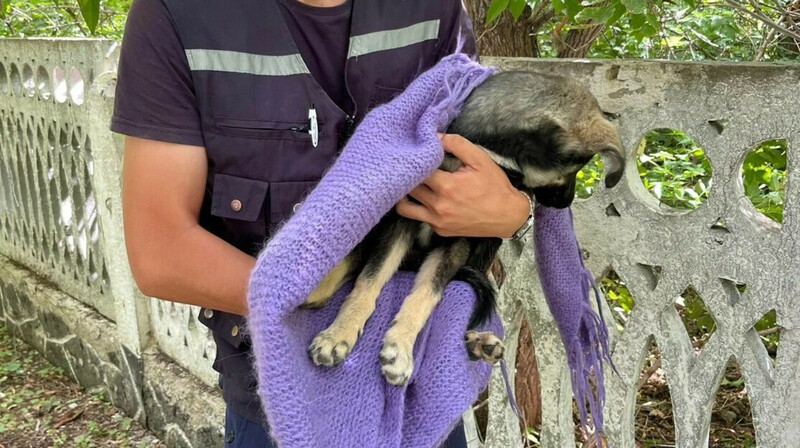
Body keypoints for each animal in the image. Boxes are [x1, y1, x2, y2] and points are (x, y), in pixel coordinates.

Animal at [304, 72, 620, 386]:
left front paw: (401, 347)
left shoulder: (457, 240)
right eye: (572, 168)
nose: (565, 202)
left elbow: (427, 294)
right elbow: (369, 280)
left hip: (486, 244)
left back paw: (479, 341)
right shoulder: (400, 220)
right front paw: (339, 334)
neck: (486, 149)